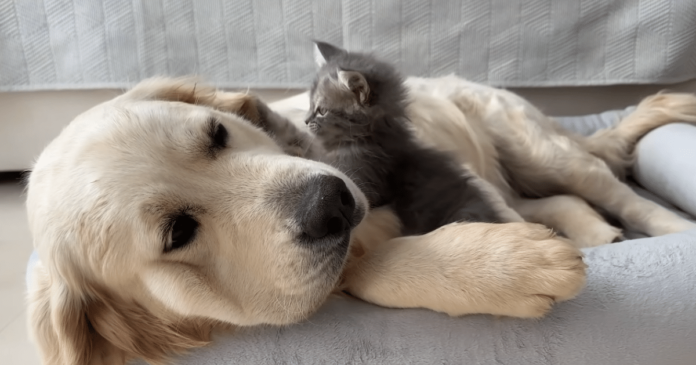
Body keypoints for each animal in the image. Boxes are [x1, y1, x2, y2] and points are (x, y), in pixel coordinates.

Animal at [27, 74, 696, 364]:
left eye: (216, 133)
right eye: (177, 233)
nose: (331, 202)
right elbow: (367, 267)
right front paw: (506, 263)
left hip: (532, 144)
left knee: (613, 185)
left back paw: (664, 230)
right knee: (563, 201)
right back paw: (591, 231)